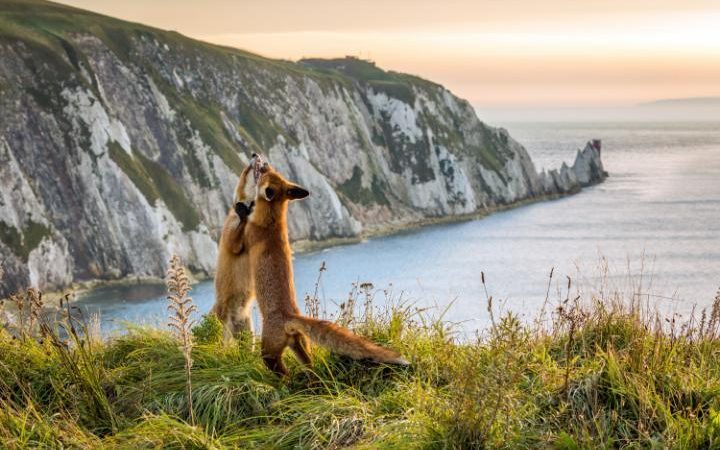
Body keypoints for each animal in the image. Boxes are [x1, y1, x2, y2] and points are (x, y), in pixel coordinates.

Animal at [222, 155, 408, 376]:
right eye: (271, 170)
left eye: (264, 172)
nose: (257, 157)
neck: (271, 220)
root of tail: (290, 316)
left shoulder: (247, 238)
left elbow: (236, 240)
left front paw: (242, 210)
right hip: (300, 346)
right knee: (311, 369)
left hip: (269, 353)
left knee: (283, 375)